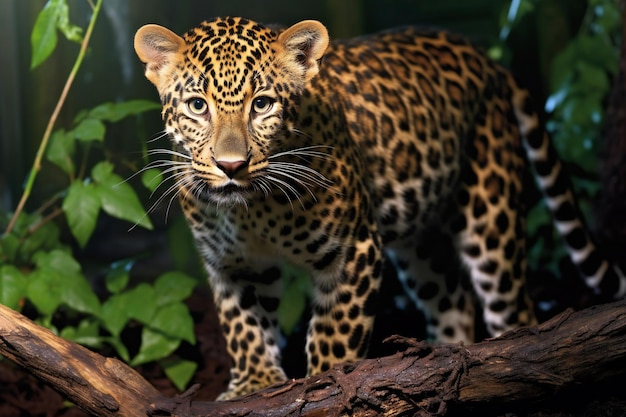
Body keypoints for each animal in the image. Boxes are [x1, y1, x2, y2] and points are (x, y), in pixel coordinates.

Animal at [133, 16, 624, 398]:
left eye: (263, 104)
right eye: (197, 106)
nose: (231, 166)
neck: (250, 210)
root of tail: (488, 58)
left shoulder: (353, 249)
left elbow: (334, 331)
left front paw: (322, 381)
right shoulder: (231, 264)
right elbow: (242, 325)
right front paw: (254, 383)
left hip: (491, 220)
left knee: (513, 311)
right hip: (418, 239)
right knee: (453, 299)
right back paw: (439, 362)